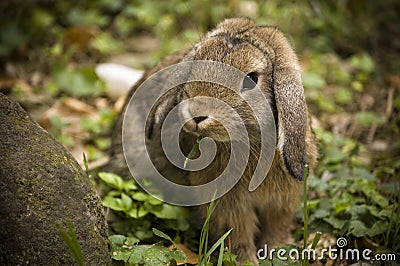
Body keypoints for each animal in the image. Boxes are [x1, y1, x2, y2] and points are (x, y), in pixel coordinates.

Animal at [107, 17, 318, 264]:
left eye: (251, 79)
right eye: (194, 65)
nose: (197, 114)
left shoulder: (282, 202)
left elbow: (276, 228)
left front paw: (280, 252)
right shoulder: (227, 206)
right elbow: (237, 234)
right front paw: (246, 260)